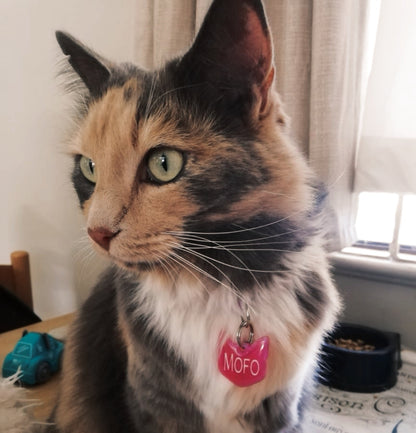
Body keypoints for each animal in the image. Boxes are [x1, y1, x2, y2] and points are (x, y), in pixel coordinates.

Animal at [50, 0, 340, 432]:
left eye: (164, 164)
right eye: (88, 168)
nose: (97, 232)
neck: (217, 282)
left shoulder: (284, 407)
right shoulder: (152, 402)